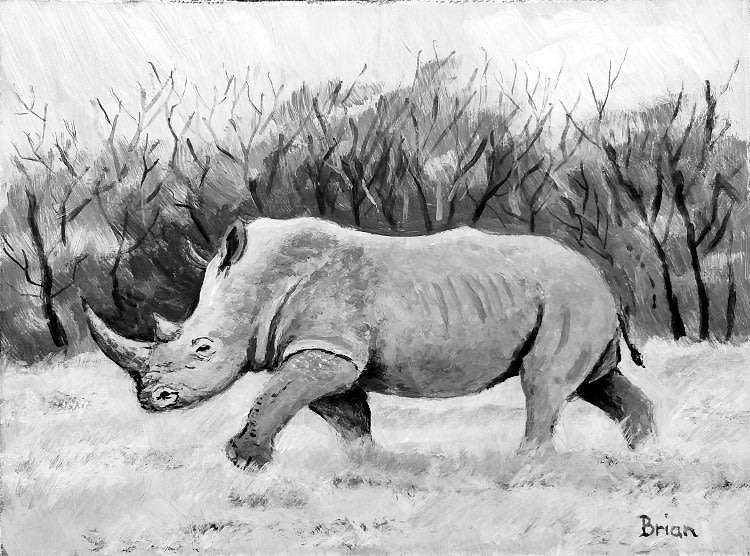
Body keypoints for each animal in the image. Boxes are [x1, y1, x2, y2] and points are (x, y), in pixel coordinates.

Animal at [84, 217, 655, 469]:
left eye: (202, 348)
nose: (151, 398)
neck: (259, 282)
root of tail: (604, 279)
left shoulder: (328, 347)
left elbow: (277, 395)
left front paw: (244, 461)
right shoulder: (324, 349)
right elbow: (343, 411)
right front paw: (367, 463)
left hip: (568, 295)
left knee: (545, 383)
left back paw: (524, 465)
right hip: (575, 298)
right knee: (598, 381)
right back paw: (643, 454)